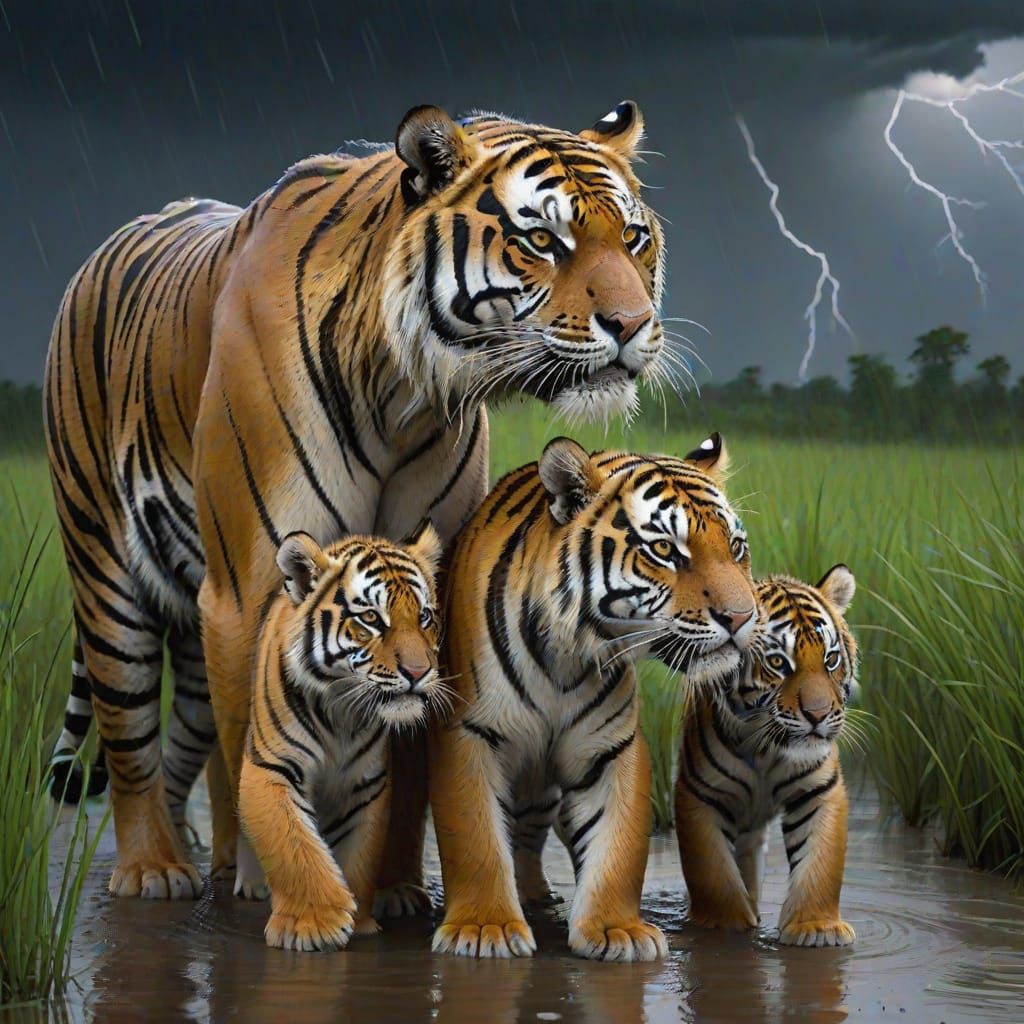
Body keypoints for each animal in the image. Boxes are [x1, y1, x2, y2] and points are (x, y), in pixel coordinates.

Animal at [42, 99, 670, 901]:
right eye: (541, 241)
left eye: (633, 238)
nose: (633, 326)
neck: (402, 395)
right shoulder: (249, 586)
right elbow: (252, 744)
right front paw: (264, 884)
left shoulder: (428, 584)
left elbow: (409, 752)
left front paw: (395, 886)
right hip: (107, 577)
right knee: (130, 738)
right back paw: (155, 866)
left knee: (186, 737)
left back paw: (190, 849)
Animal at [238, 524, 443, 951]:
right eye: (371, 618)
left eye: (425, 616)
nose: (418, 673)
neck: (341, 711)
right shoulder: (272, 768)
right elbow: (293, 846)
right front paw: (315, 923)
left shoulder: (366, 785)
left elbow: (358, 855)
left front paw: (359, 920)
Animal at [428, 432, 758, 961]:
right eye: (664, 549)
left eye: (736, 548)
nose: (744, 617)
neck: (566, 660)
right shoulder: (468, 733)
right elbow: (475, 837)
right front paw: (483, 928)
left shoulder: (611, 748)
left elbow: (618, 845)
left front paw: (615, 930)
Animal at [675, 566, 858, 947]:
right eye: (778, 663)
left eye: (830, 660)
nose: (818, 715)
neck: (764, 749)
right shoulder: (698, 794)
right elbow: (713, 872)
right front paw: (726, 924)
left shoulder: (819, 791)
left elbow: (821, 864)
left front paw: (818, 928)